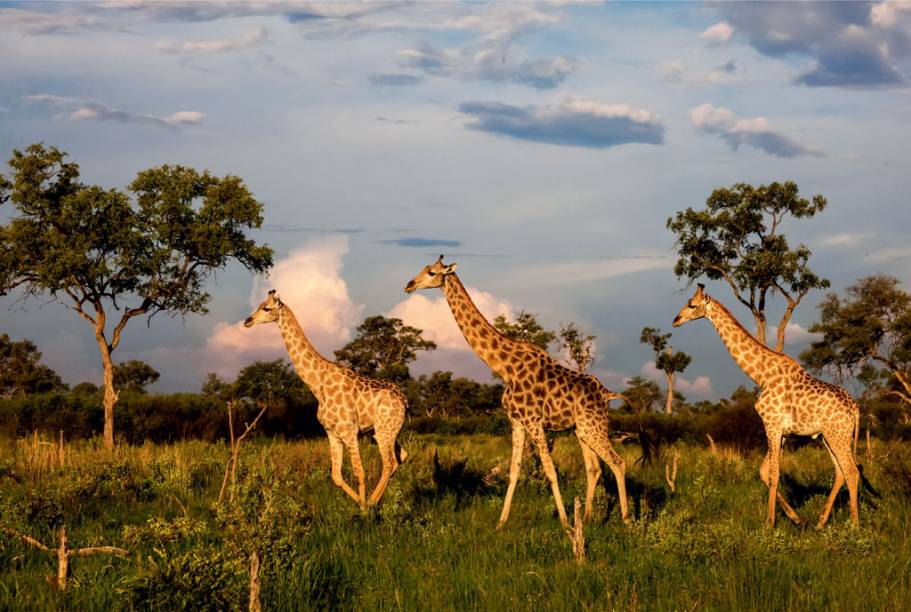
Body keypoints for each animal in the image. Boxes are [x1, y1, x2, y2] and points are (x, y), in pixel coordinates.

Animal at [246, 290, 410, 506]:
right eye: (258, 306)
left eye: (266, 308)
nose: (247, 321)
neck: (318, 385)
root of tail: (404, 401)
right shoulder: (332, 433)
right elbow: (336, 476)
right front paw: (360, 503)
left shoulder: (349, 432)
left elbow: (359, 472)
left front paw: (363, 508)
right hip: (383, 431)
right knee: (401, 457)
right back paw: (375, 502)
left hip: (384, 430)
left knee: (389, 463)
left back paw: (371, 503)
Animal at [404, 256, 628, 528]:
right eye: (424, 269)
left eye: (432, 272)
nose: (409, 284)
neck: (505, 367)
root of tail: (606, 394)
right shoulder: (516, 421)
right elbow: (513, 471)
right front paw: (501, 523)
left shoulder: (533, 421)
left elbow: (550, 471)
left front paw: (565, 524)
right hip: (582, 430)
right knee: (594, 468)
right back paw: (585, 518)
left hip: (593, 427)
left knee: (618, 462)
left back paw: (627, 521)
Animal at [672, 284, 860, 528]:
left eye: (692, 305)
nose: (676, 320)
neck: (761, 375)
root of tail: (855, 407)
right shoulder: (783, 432)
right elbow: (764, 472)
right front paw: (795, 518)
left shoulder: (772, 425)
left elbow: (773, 473)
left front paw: (769, 524)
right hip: (830, 436)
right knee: (840, 472)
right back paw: (820, 523)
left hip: (838, 435)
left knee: (852, 471)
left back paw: (854, 526)